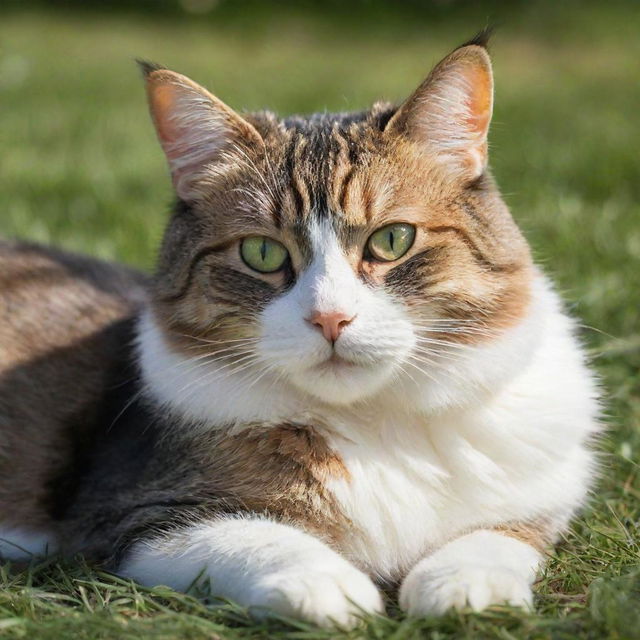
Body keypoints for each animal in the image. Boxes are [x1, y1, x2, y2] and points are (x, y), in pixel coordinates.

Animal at [0, 32, 600, 628]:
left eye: (392, 240)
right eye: (262, 253)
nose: (330, 318)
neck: (374, 422)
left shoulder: (542, 497)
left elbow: (496, 537)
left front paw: (464, 587)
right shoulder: (132, 514)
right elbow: (259, 538)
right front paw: (332, 588)